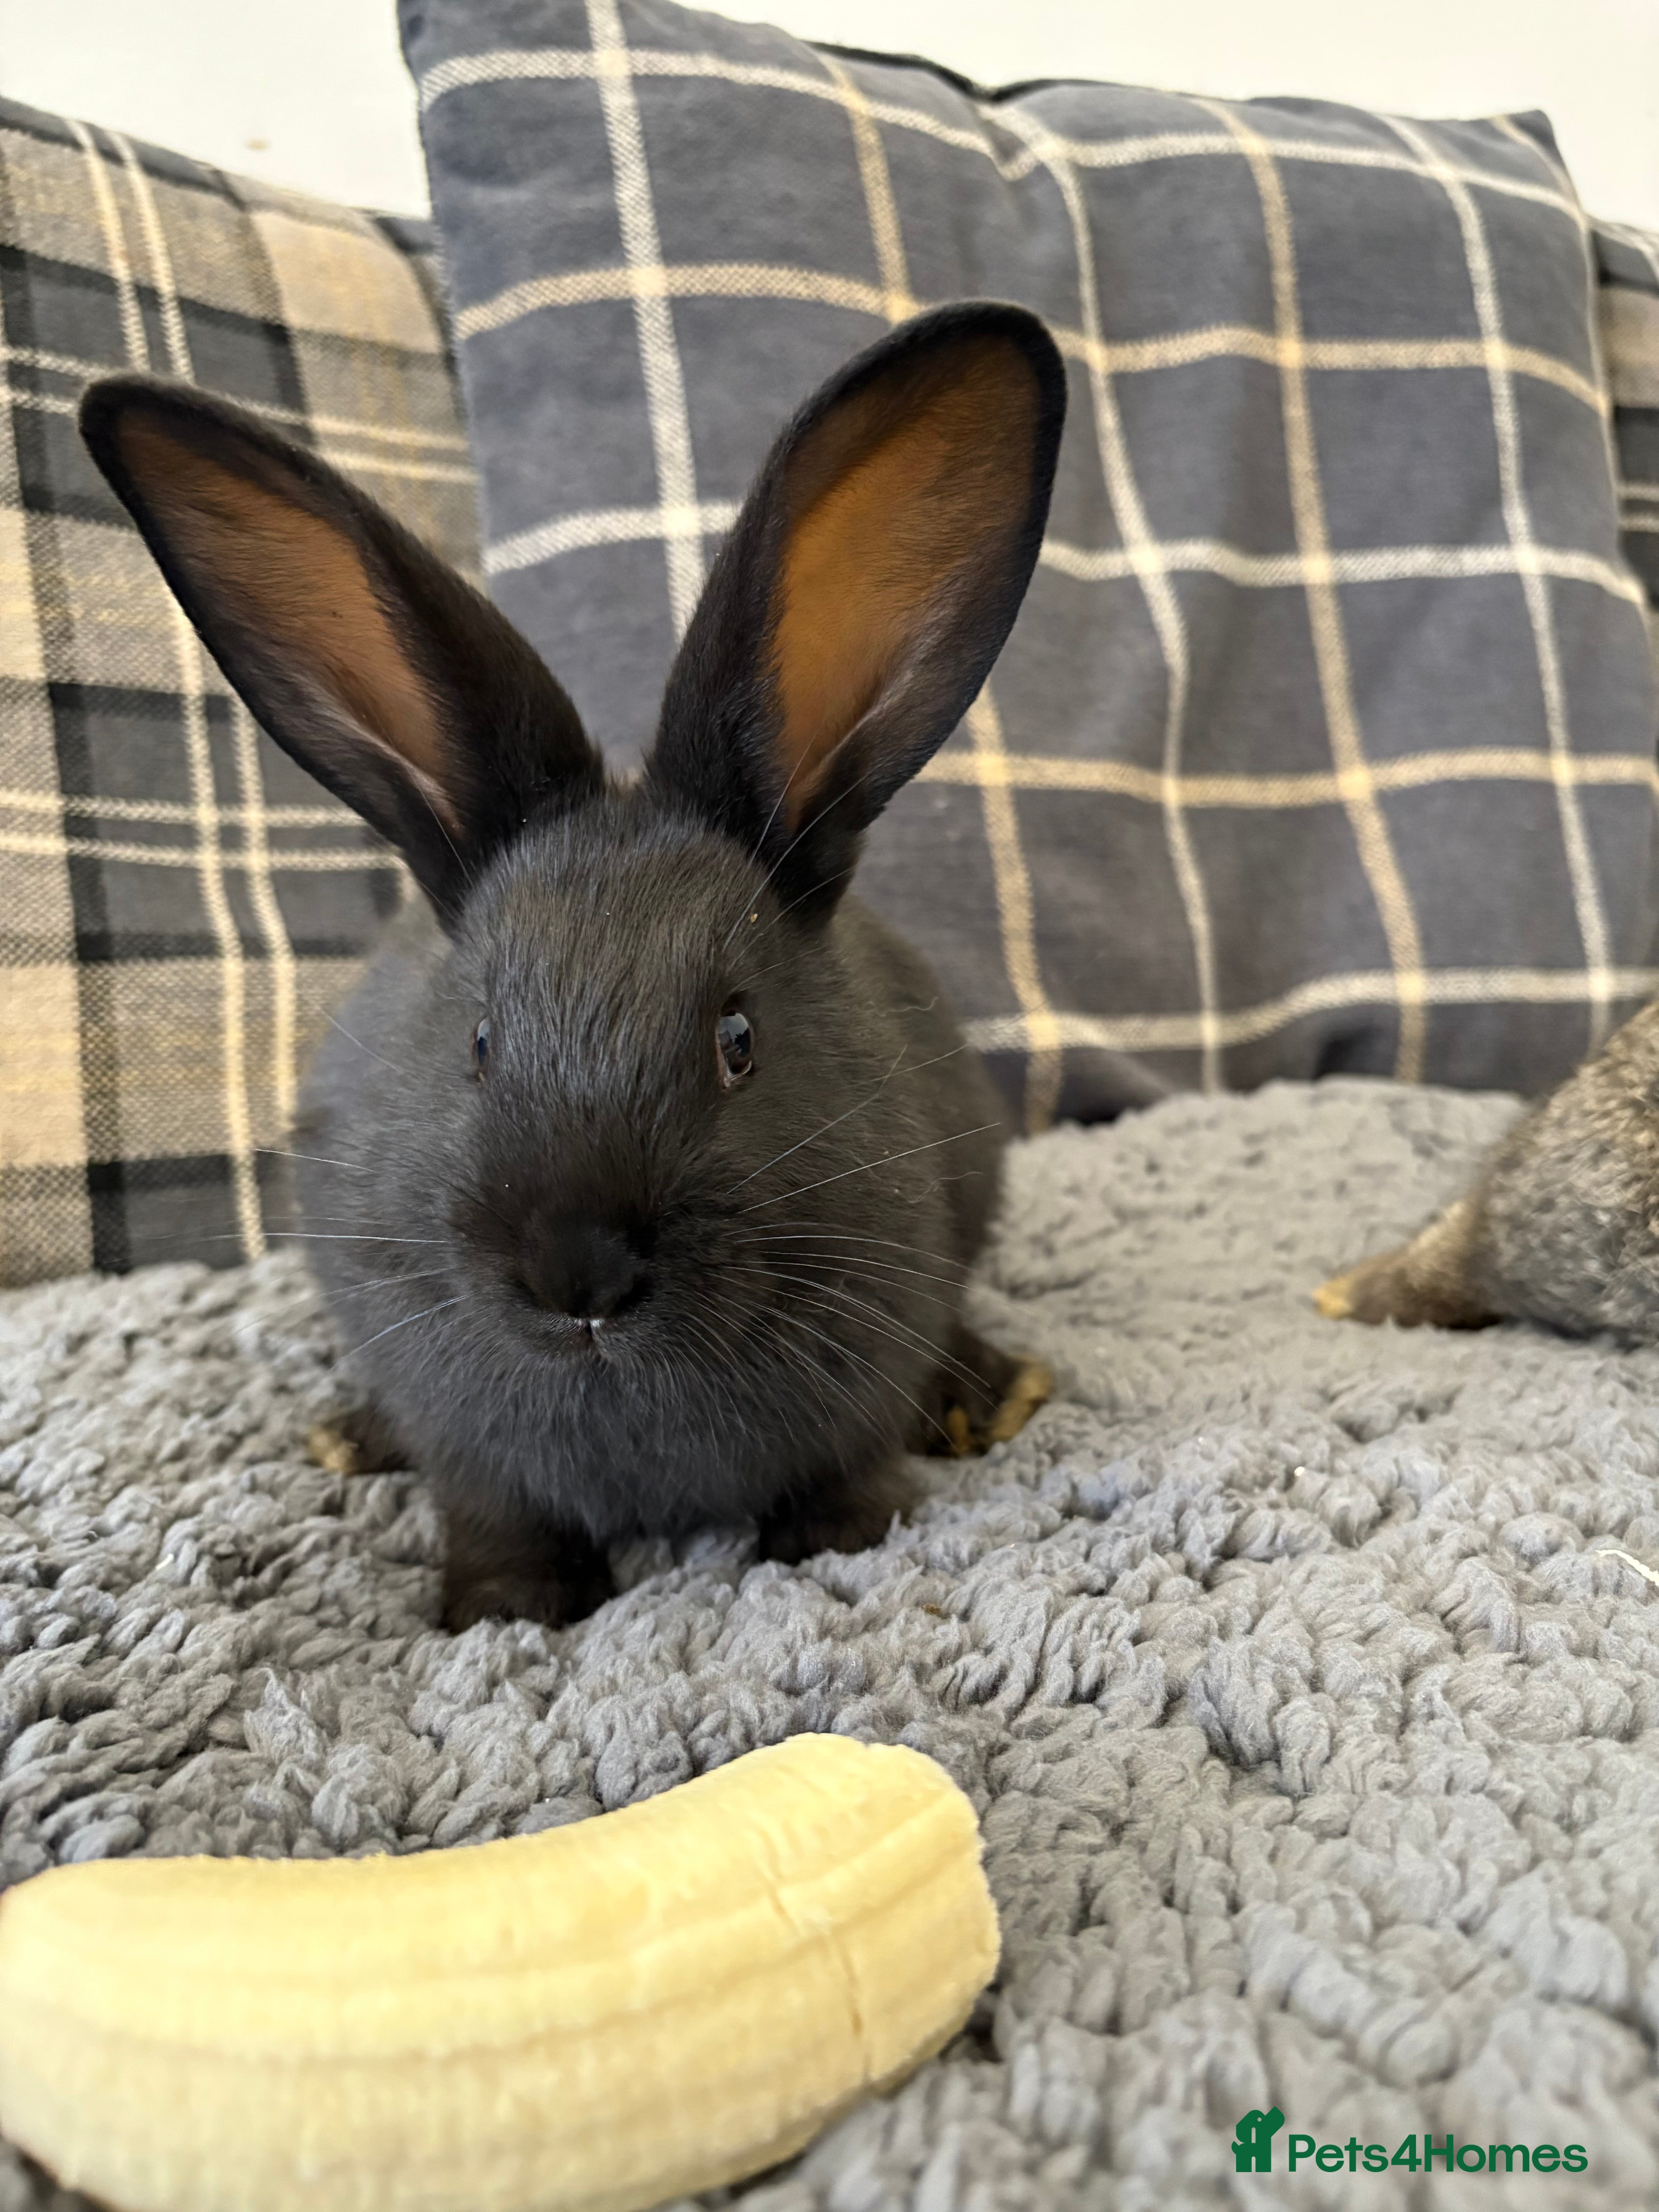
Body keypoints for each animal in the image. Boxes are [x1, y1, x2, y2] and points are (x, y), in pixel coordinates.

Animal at [80, 301, 1067, 1630]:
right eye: (479, 1041)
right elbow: (493, 1520)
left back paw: (990, 1392)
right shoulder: (470, 1450)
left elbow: (847, 1487)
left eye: (739, 1039)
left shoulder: (870, 1366)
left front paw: (840, 1542)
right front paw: (501, 1611)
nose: (578, 1272)